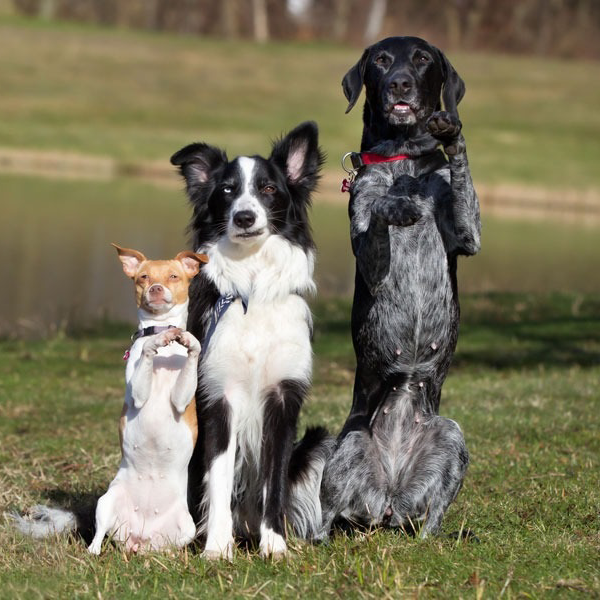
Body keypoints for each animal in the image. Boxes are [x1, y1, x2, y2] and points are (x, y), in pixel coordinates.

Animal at [85, 244, 209, 552]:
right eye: (143, 277)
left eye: (174, 276)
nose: (155, 288)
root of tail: (140, 537)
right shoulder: (139, 393)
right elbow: (146, 354)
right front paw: (154, 342)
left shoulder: (181, 398)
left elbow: (192, 352)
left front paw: (188, 341)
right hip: (107, 501)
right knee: (100, 533)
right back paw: (92, 551)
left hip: (186, 527)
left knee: (169, 547)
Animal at [314, 35, 478, 540]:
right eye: (382, 61)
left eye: (422, 59)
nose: (400, 83)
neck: (404, 156)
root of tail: (388, 499)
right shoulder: (369, 255)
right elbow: (381, 204)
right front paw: (400, 202)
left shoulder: (469, 234)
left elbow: (461, 178)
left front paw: (451, 135)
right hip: (347, 447)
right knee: (325, 514)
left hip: (451, 436)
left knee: (432, 518)